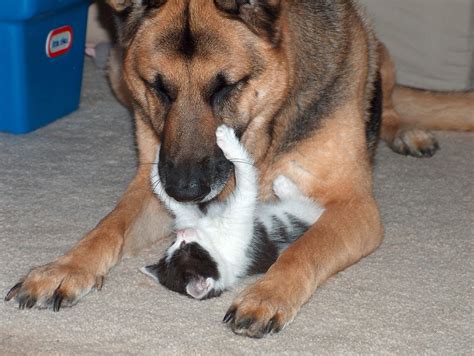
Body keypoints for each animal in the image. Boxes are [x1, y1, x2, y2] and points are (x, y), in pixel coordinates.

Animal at [141, 126, 324, 298]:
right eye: (183, 247)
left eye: (178, 245)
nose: (181, 233)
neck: (213, 242)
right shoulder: (239, 217)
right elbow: (246, 180)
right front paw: (228, 142)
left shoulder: (190, 217)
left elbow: (171, 200)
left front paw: (158, 153)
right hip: (305, 211)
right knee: (306, 202)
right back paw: (283, 186)